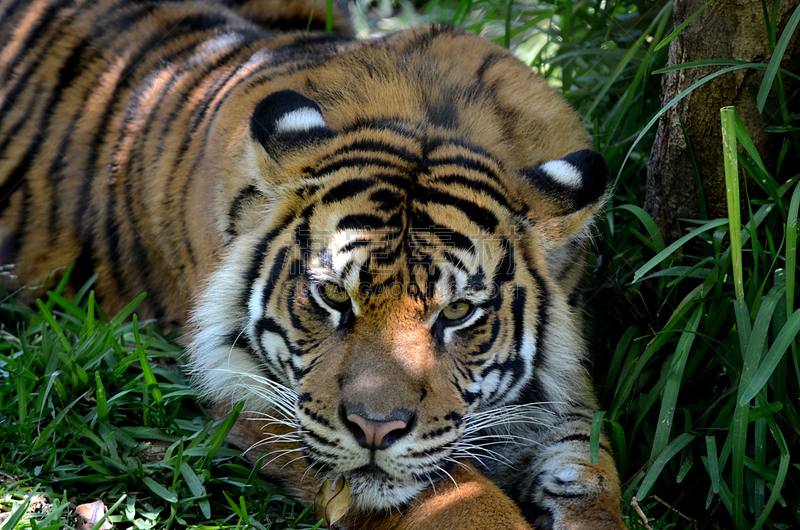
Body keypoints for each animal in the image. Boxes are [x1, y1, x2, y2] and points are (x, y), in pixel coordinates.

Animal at [0, 0, 624, 524]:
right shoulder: (258, 399)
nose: (375, 429)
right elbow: (461, 497)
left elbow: (591, 477)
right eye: (333, 296)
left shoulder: (561, 397)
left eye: (457, 313)